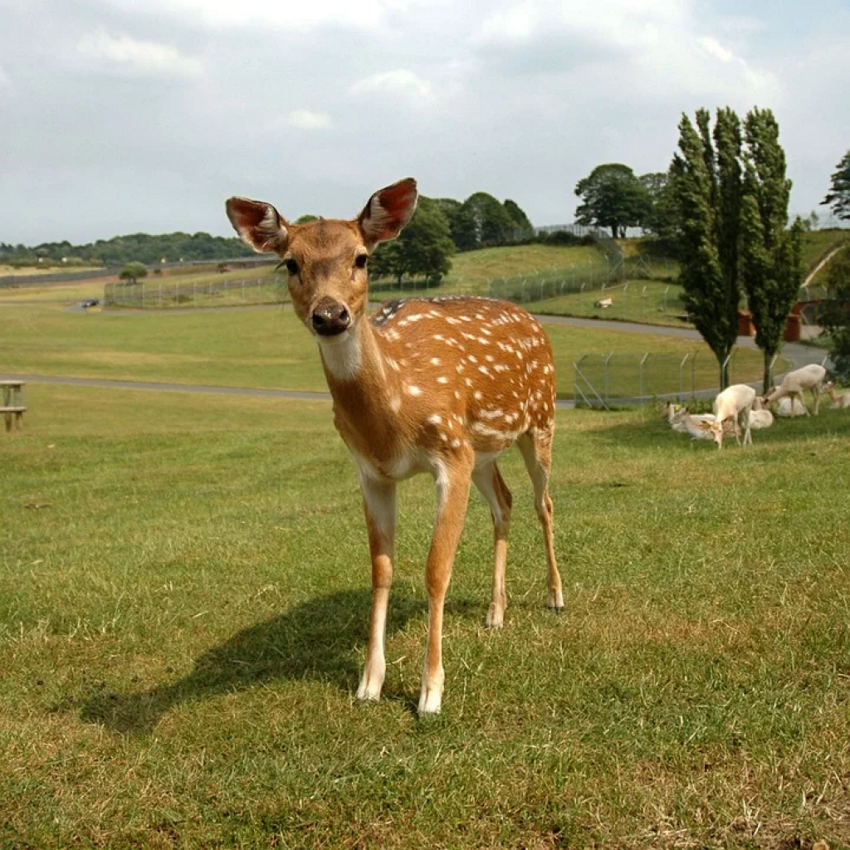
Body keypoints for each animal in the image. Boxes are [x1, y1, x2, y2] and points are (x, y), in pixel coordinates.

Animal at [224, 181, 564, 716]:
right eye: (290, 263)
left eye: (362, 257)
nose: (330, 314)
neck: (396, 416)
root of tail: (534, 318)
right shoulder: (373, 472)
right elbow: (381, 570)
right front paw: (369, 681)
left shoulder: (450, 453)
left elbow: (436, 569)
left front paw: (431, 691)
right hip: (483, 450)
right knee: (505, 502)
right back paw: (495, 612)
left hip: (541, 419)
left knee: (543, 501)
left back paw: (555, 597)